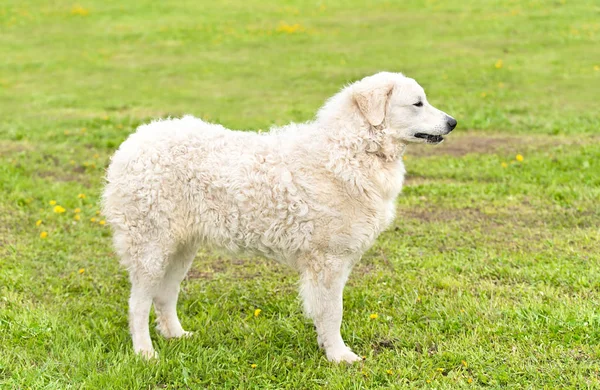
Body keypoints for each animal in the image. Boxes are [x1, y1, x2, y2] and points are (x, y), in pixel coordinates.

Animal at [103, 72, 458, 362]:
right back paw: (145, 352)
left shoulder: (338, 260)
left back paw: (177, 335)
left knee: (165, 295)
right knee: (138, 303)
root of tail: (134, 141)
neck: (351, 150)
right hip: (150, 247)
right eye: (417, 103)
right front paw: (339, 356)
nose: (453, 122)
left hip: (180, 248)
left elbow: (326, 311)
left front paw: (327, 347)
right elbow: (333, 311)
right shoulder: (327, 260)